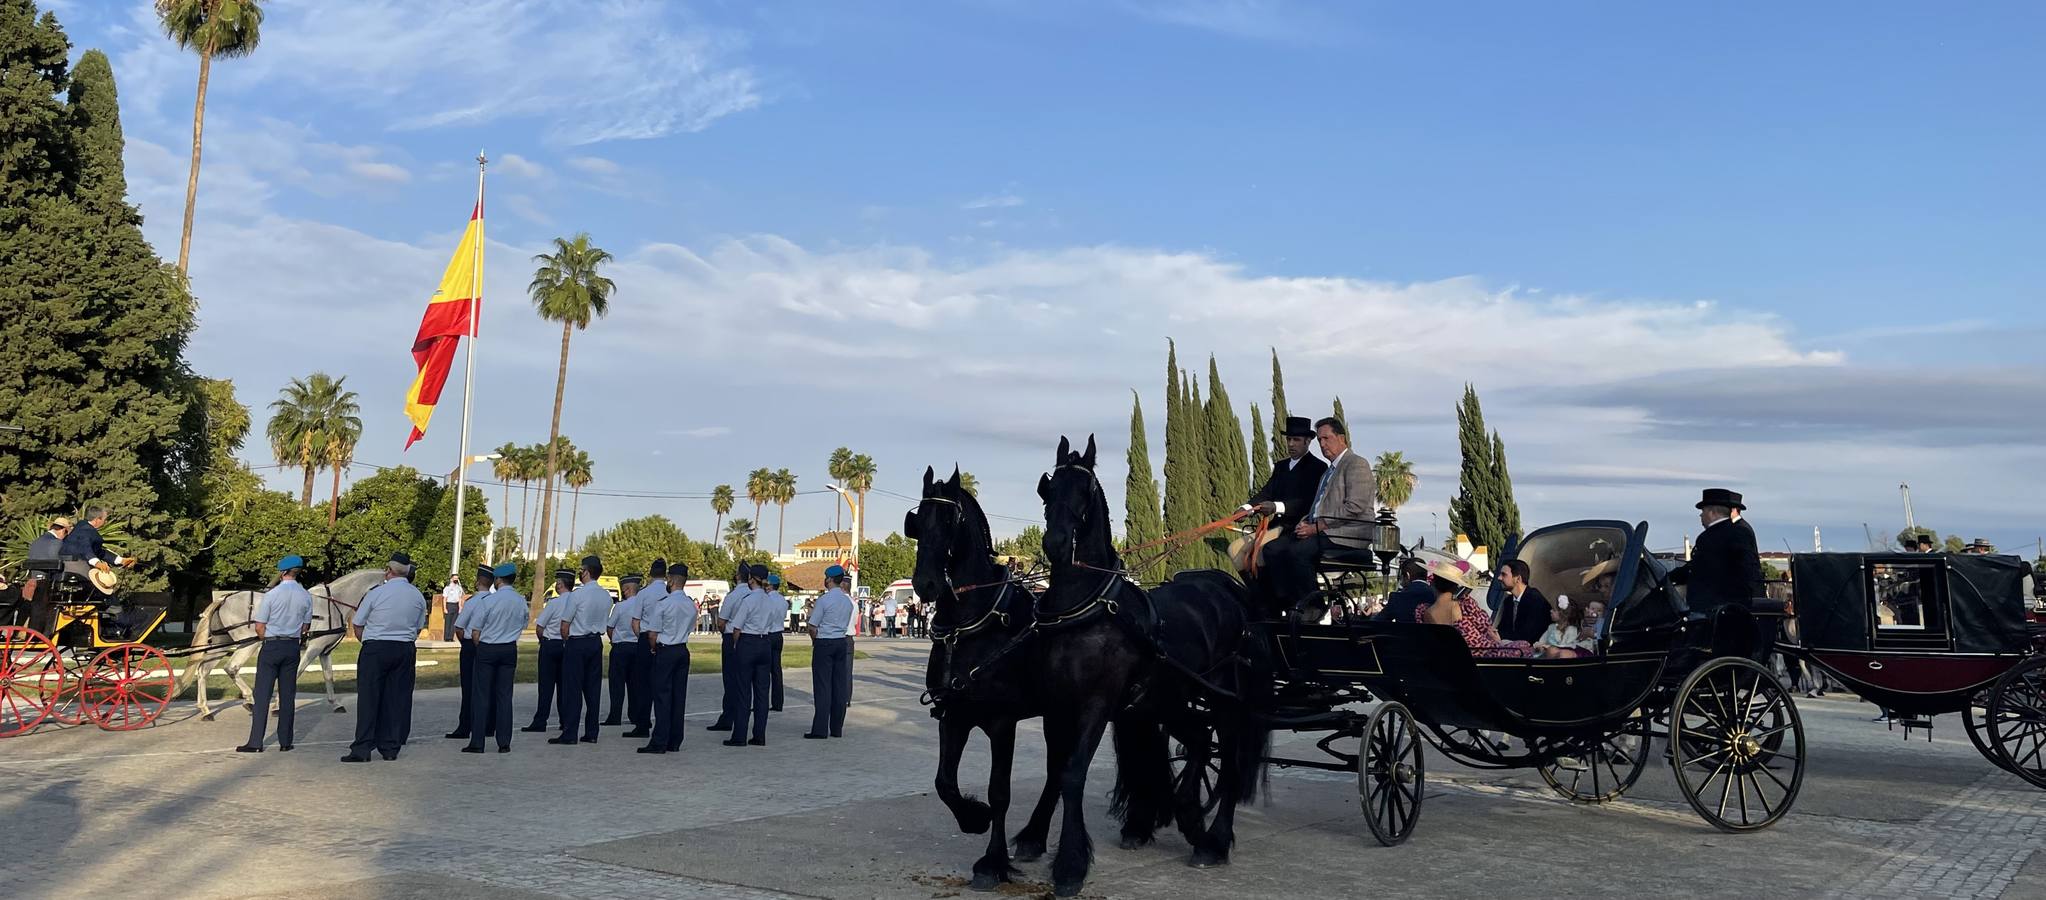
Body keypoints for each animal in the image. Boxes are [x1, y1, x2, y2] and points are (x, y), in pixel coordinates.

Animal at [180, 568, 384, 724]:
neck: (333, 604)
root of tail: (223, 599)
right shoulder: (313, 649)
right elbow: (297, 674)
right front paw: (277, 706)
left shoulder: (324, 651)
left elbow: (329, 677)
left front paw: (335, 704)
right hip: (248, 643)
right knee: (231, 668)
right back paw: (250, 700)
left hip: (222, 645)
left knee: (203, 670)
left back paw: (206, 710)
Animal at [916, 468, 1072, 887]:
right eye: (917, 520)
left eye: (950, 521)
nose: (925, 584)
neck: (969, 627)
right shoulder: (953, 716)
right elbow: (943, 782)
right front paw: (973, 817)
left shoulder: (1002, 723)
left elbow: (999, 791)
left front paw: (993, 861)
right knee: (1058, 771)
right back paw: (1034, 838)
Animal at [1031, 433, 1268, 891]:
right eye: (1048, 489)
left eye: (1085, 491)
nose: (1055, 544)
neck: (1088, 608)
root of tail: (1230, 590)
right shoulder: (1055, 702)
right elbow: (1055, 769)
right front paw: (1031, 838)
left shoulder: (1096, 704)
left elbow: (1072, 773)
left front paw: (1070, 864)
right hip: (1170, 698)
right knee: (1199, 740)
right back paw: (1188, 816)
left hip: (1226, 699)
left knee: (1229, 760)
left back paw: (1213, 840)